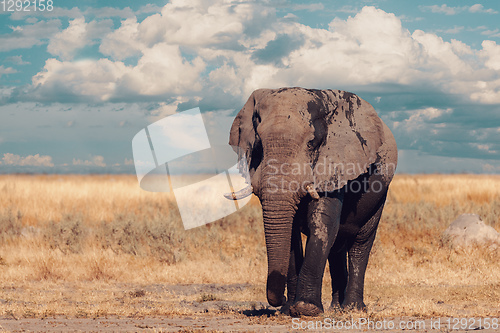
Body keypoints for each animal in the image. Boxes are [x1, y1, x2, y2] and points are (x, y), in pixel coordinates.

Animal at [225, 87, 396, 316]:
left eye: (311, 143)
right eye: (259, 143)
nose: (280, 300)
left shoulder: (335, 164)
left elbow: (322, 224)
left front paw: (306, 309)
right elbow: (292, 233)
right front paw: (289, 310)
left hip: (380, 192)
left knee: (360, 243)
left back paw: (353, 309)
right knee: (337, 247)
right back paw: (336, 309)